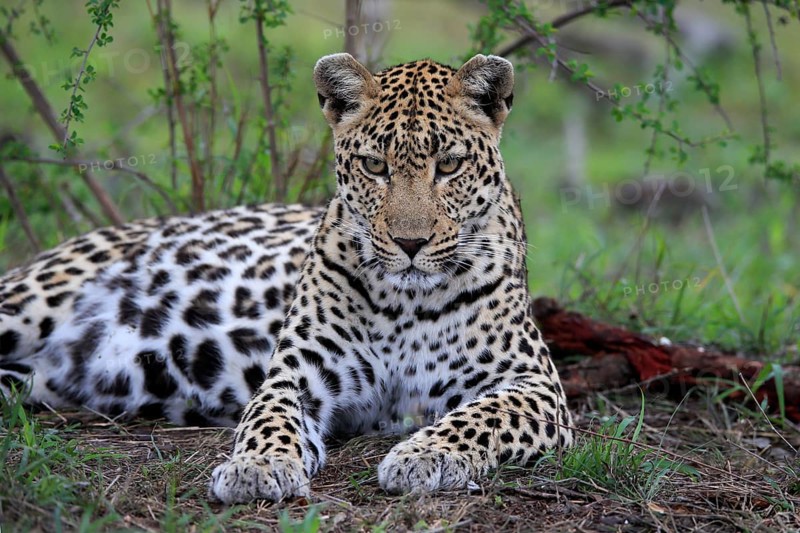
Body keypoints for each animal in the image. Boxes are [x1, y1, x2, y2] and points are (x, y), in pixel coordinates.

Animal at [0, 53, 573, 504]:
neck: (406, 303)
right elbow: (269, 419)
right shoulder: (298, 373)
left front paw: (423, 454)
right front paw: (257, 467)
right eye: (374, 166)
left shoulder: (535, 385)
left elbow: (479, 419)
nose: (411, 244)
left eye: (450, 165)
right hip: (30, 301)